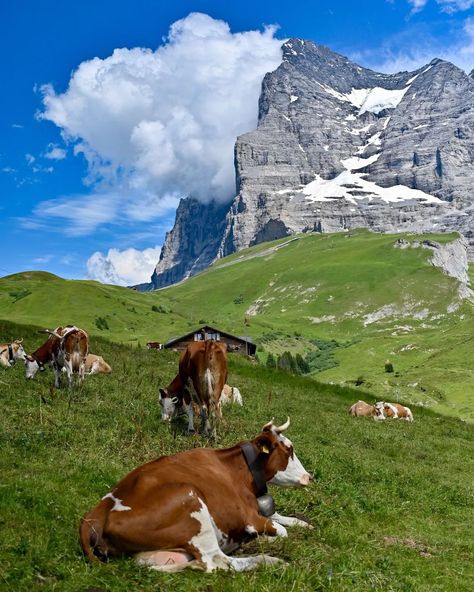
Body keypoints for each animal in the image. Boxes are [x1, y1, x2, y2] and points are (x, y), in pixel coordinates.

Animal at [80, 418, 312, 572]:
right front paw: (266, 540)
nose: (309, 476)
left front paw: (305, 524)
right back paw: (268, 560)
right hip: (190, 500)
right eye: (289, 450)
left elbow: (283, 518)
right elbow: (282, 531)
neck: (240, 470)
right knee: (218, 562)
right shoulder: (250, 517)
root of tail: (98, 510)